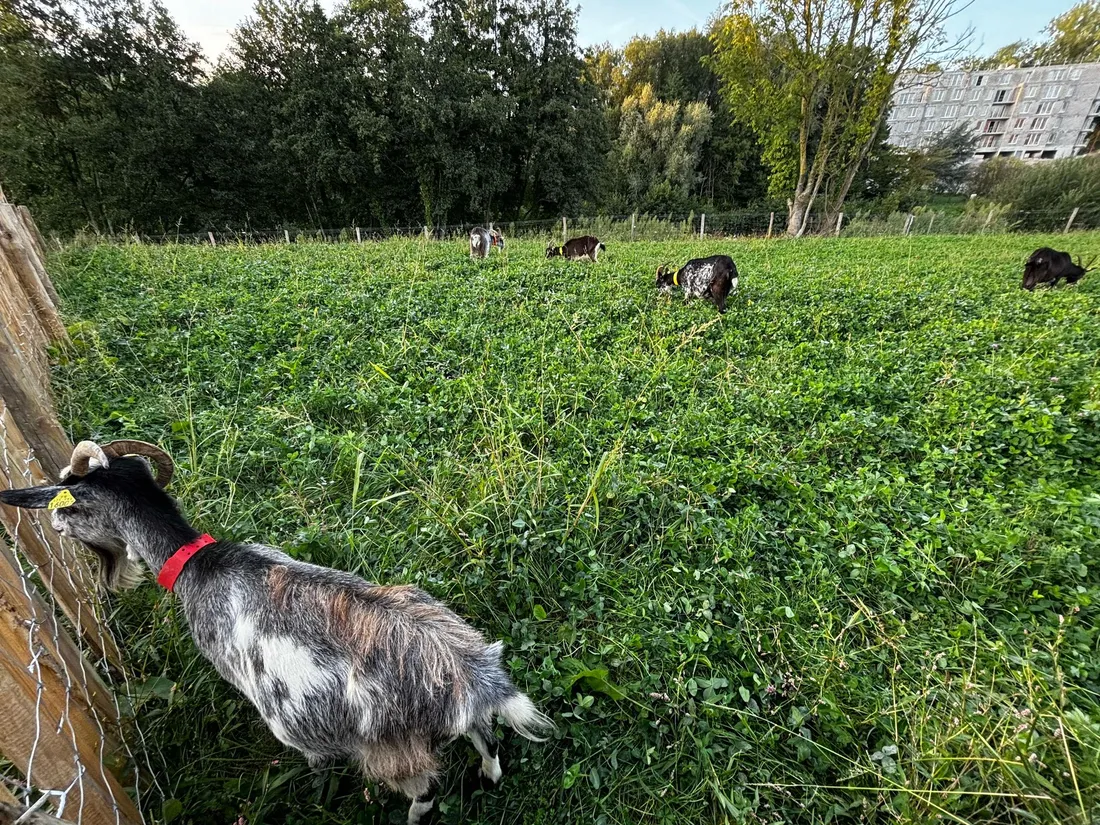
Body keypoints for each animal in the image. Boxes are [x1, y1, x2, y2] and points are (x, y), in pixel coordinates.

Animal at [0, 442, 550, 822]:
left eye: (68, 505)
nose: (55, 525)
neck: (199, 565)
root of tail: (471, 676)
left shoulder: (292, 721)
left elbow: (318, 766)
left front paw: (318, 798)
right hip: (455, 715)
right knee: (485, 736)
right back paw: (489, 776)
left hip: (393, 749)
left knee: (428, 792)